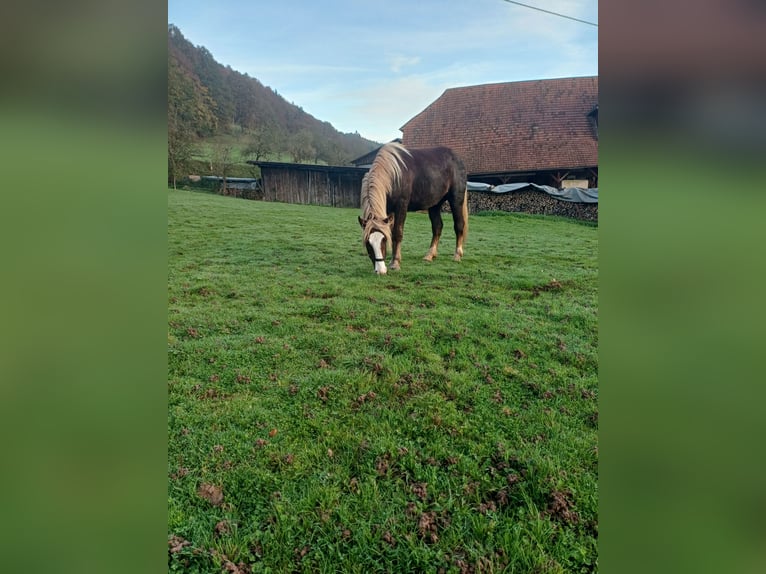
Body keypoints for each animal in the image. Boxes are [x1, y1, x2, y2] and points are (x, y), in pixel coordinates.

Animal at [358, 142, 468, 274]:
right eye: (368, 243)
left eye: (383, 240)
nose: (380, 270)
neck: (393, 174)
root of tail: (458, 159)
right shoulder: (388, 210)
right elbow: (391, 232)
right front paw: (393, 260)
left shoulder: (401, 206)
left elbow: (397, 233)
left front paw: (395, 263)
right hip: (435, 204)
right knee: (437, 227)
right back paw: (430, 255)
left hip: (456, 200)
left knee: (459, 225)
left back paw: (457, 255)